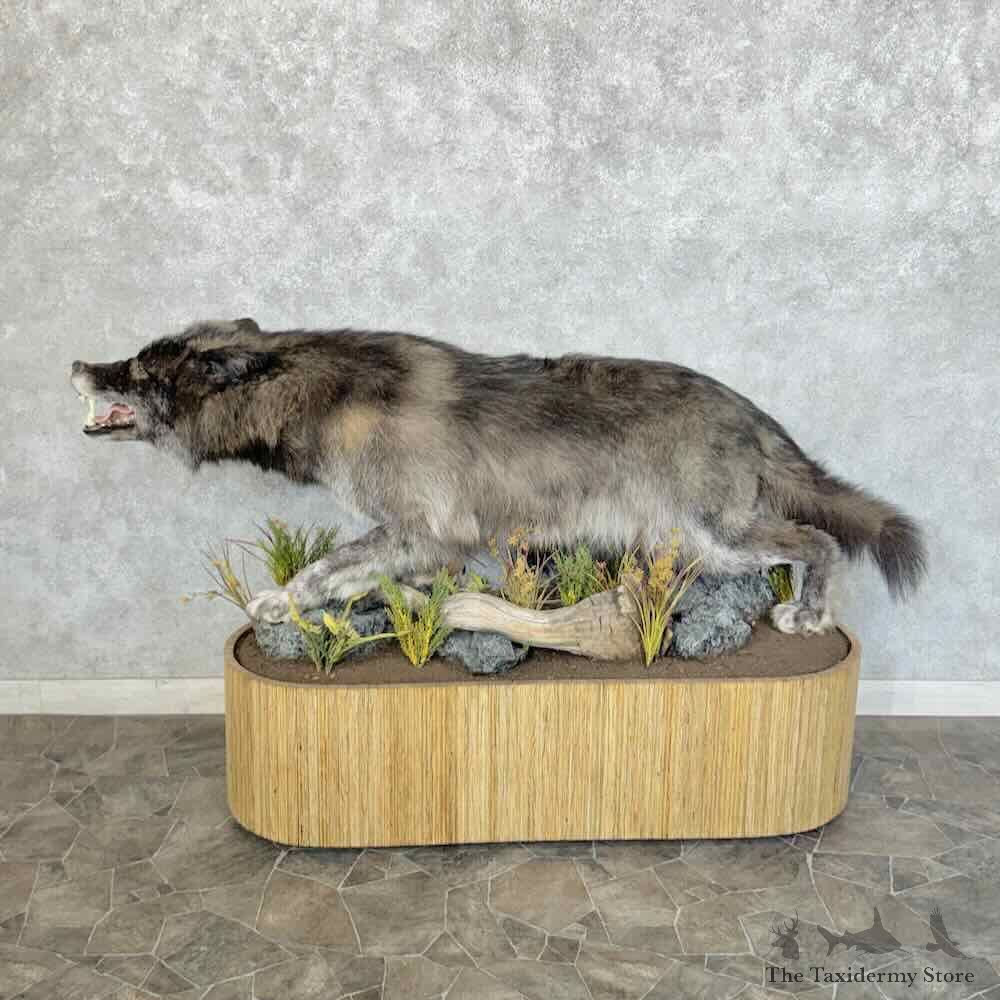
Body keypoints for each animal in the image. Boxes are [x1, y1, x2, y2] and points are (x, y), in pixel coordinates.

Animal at [70, 318, 925, 628]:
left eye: (141, 371)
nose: (78, 364)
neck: (324, 396)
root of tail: (751, 411)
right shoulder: (424, 543)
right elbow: (384, 580)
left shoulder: (425, 529)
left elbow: (324, 568)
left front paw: (278, 601)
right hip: (690, 546)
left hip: (717, 539)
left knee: (819, 542)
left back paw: (806, 616)